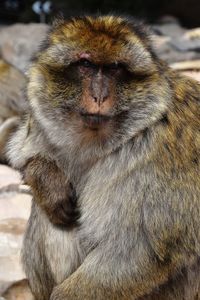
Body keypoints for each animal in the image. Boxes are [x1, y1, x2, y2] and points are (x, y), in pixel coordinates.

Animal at [6, 15, 200, 298]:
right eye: (85, 64)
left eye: (115, 68)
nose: (100, 95)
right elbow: (23, 151)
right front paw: (46, 180)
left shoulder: (161, 156)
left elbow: (140, 250)